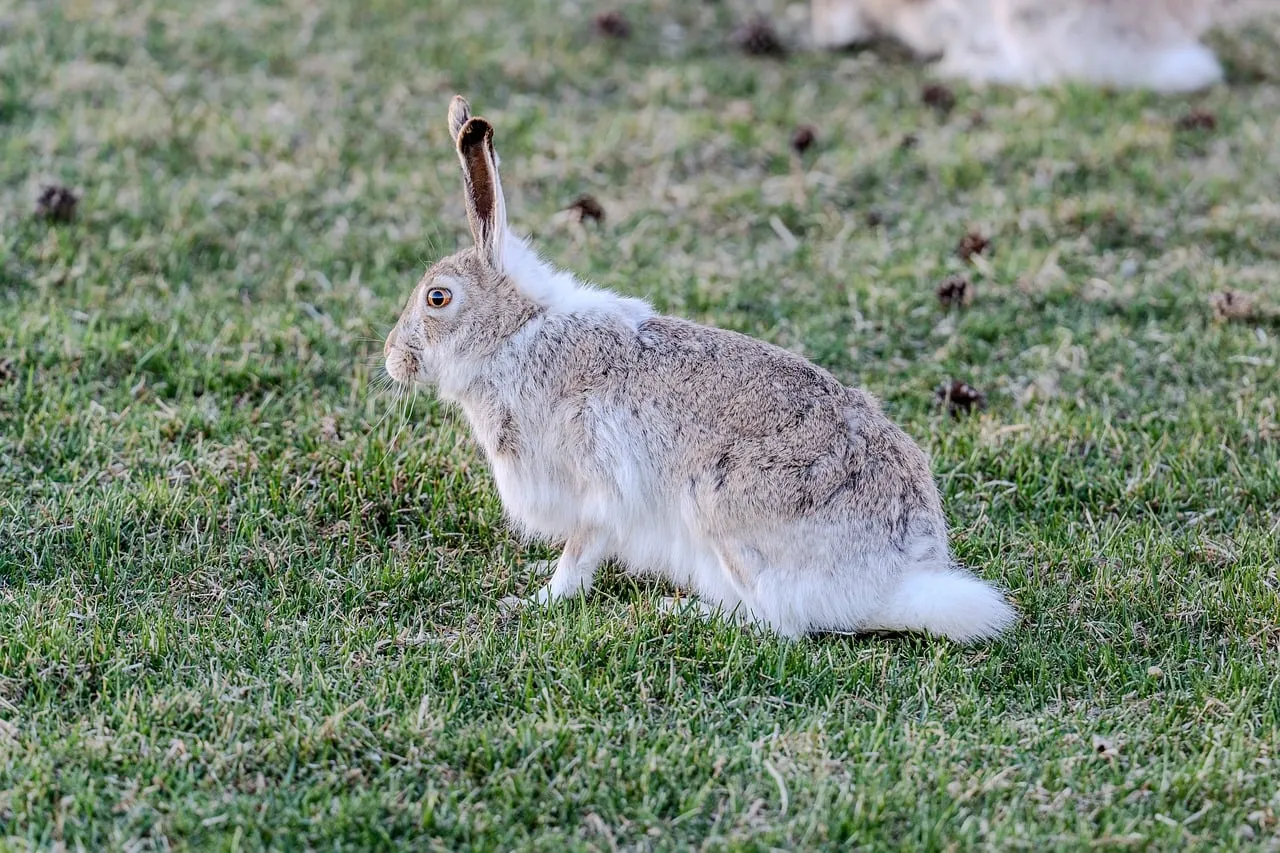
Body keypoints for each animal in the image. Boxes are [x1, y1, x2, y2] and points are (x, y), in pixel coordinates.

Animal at [382, 96, 1018, 642]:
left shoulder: (598, 489)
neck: (515, 335)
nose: (393, 357)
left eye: (437, 298)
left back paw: (680, 610)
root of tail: (891, 580)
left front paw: (535, 600)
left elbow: (578, 556)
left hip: (722, 512)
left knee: (776, 622)